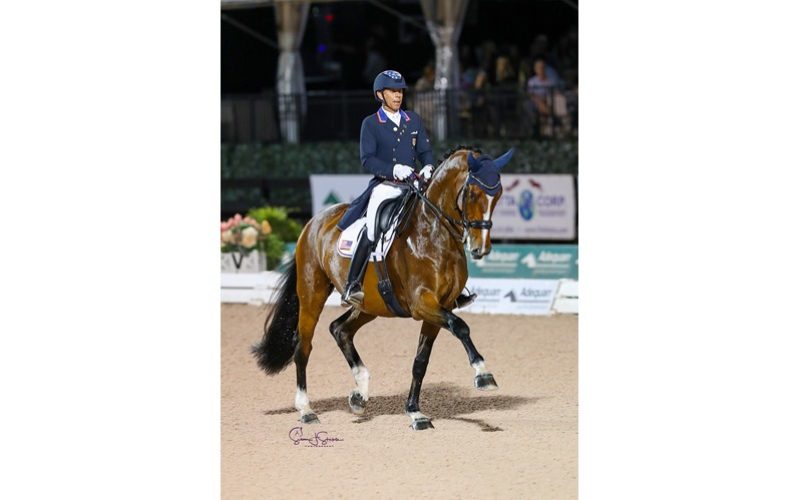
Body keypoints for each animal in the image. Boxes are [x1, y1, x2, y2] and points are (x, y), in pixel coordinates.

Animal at [252, 147, 513, 430]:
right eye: (473, 193)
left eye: (498, 194)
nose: (480, 248)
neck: (432, 233)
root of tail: (313, 223)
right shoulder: (423, 304)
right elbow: (461, 326)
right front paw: (483, 374)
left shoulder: (438, 308)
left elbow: (421, 361)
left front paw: (415, 412)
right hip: (312, 295)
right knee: (303, 347)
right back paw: (306, 409)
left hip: (371, 304)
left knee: (340, 329)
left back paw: (359, 393)